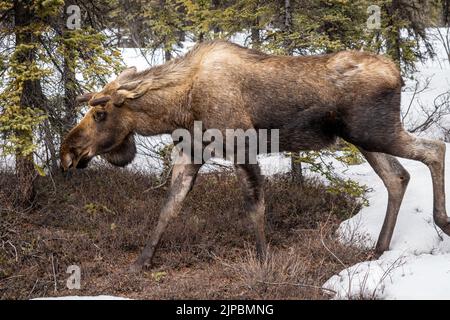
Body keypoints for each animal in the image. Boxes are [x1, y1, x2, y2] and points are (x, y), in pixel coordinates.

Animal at [60, 40, 450, 272]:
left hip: (376, 132)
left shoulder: (241, 145)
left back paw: (441, 222)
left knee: (434, 148)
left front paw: (264, 261)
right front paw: (141, 262)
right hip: (365, 138)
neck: (178, 108)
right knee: (397, 177)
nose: (67, 152)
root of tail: (398, 73)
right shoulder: (190, 153)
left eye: (100, 114)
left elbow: (254, 206)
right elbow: (168, 208)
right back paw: (378, 249)